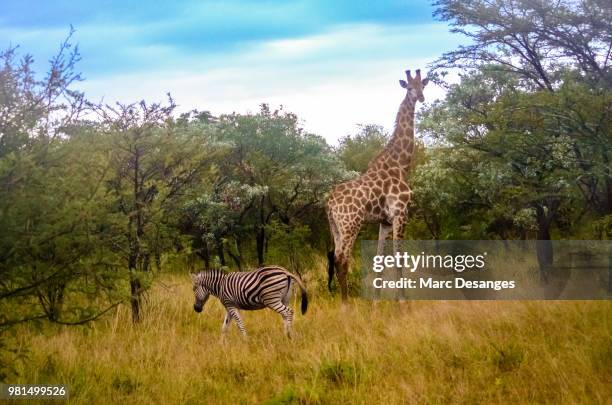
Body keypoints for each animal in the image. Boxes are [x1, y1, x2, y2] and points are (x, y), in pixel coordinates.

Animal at [326, 68, 430, 302]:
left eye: (423, 85)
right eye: (409, 87)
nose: (420, 97)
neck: (400, 164)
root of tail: (328, 204)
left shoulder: (385, 221)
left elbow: (380, 259)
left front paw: (376, 301)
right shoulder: (401, 213)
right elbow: (399, 258)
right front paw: (403, 302)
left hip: (335, 227)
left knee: (335, 258)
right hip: (351, 224)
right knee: (342, 260)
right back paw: (346, 304)